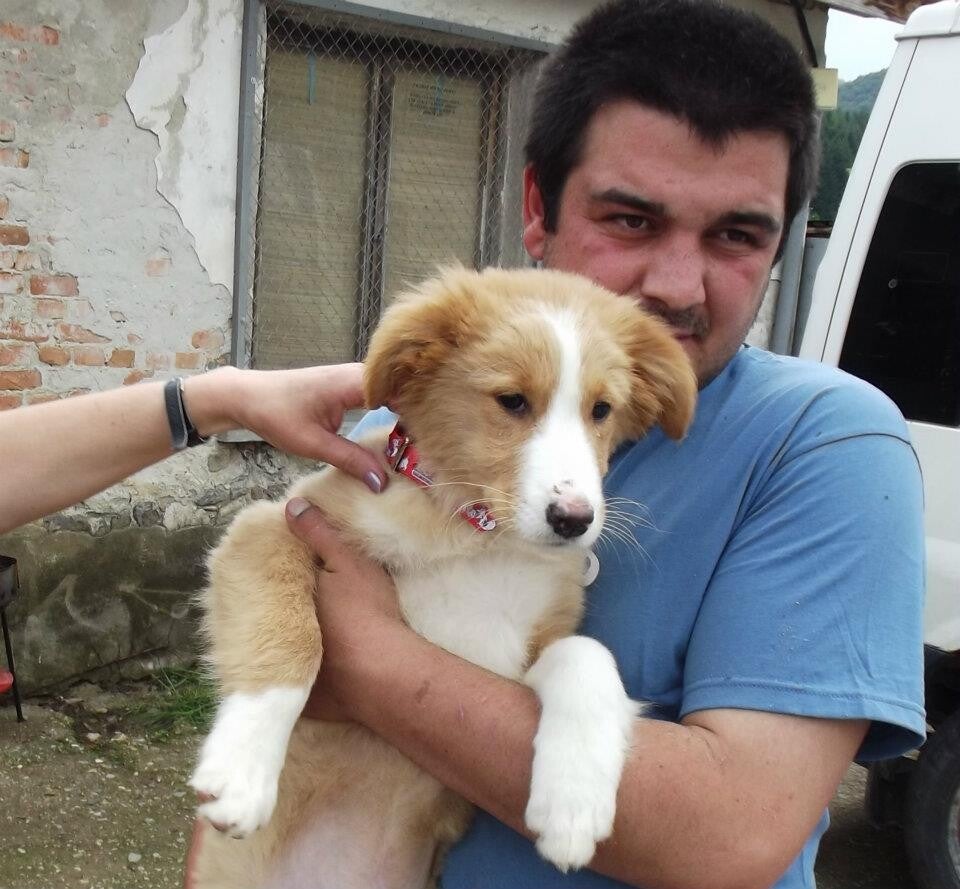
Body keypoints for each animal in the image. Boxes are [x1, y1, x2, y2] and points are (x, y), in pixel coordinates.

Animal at [188, 266, 696, 889]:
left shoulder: (521, 653)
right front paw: (243, 769)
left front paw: (574, 806)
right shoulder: (271, 525)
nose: (574, 520)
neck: (477, 536)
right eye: (512, 401)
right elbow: (291, 636)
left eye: (601, 410)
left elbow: (586, 654)